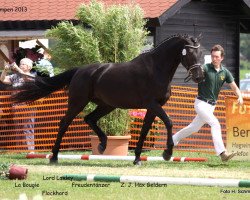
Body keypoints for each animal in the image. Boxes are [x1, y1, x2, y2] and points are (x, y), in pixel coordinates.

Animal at [12, 34, 203, 166]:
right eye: (189, 53)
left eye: (200, 53)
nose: (199, 77)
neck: (156, 69)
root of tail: (79, 70)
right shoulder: (152, 104)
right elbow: (169, 122)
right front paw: (167, 153)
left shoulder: (152, 107)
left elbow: (144, 131)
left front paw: (137, 159)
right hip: (78, 103)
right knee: (64, 123)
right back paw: (54, 157)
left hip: (107, 105)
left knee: (90, 119)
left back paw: (103, 145)